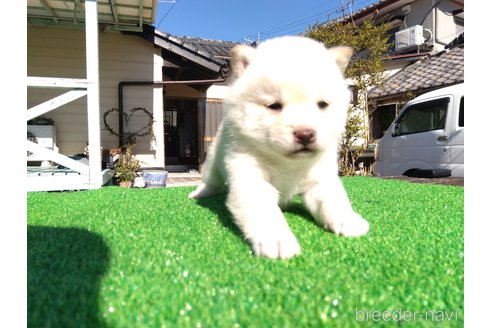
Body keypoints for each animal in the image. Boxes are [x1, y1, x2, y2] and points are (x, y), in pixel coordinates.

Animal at [189, 36, 368, 258]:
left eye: (322, 105)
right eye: (274, 106)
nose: (305, 133)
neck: (286, 163)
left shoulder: (319, 179)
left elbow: (333, 201)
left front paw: (348, 220)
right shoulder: (251, 176)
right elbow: (266, 213)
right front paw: (277, 239)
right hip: (213, 161)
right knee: (211, 181)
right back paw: (200, 192)